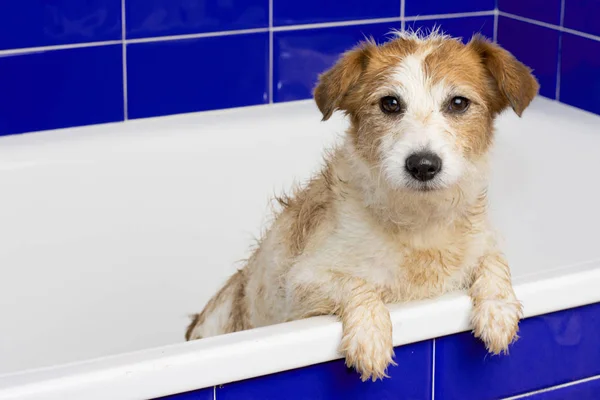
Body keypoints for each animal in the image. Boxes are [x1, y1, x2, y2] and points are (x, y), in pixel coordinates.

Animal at [184, 31, 540, 382]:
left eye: (458, 103)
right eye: (390, 103)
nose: (423, 165)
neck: (418, 225)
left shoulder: (478, 247)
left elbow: (494, 260)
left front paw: (499, 308)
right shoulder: (300, 286)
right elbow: (356, 282)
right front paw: (370, 333)